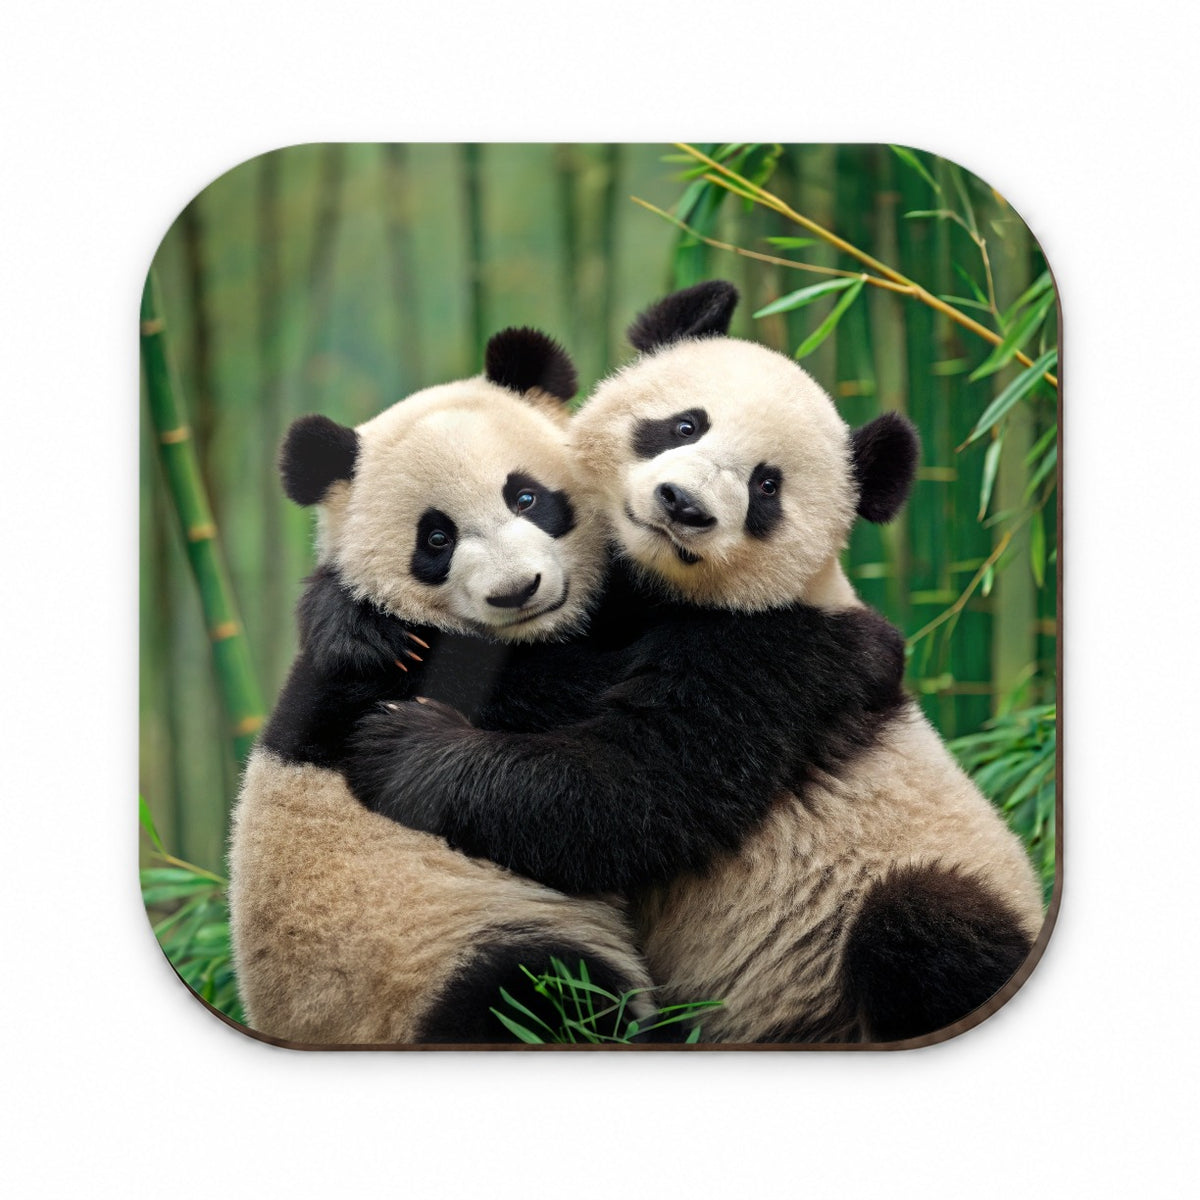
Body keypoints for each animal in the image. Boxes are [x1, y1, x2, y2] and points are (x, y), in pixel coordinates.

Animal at [345, 282, 1046, 1045]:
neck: (659, 588)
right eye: (685, 426)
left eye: (767, 486)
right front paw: (373, 633)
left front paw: (401, 741)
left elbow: (631, 795)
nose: (683, 505)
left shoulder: (774, 658)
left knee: (923, 923)